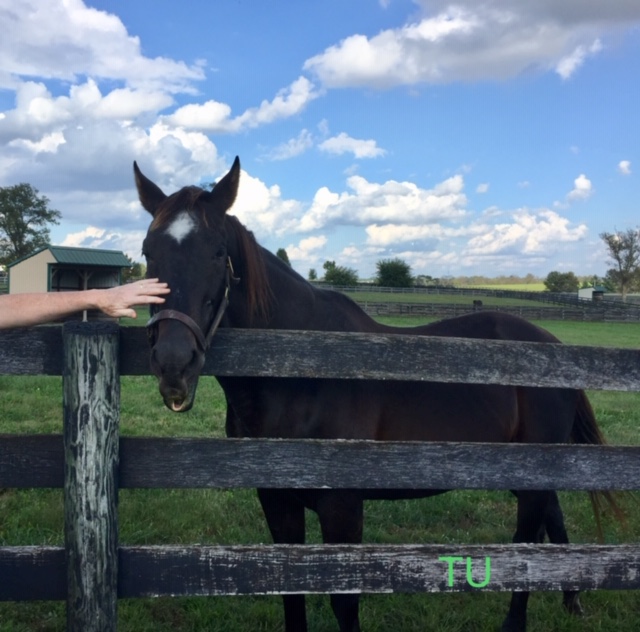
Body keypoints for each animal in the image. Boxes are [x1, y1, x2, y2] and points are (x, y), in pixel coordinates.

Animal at [135, 158, 616, 632]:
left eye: (218, 252)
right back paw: (572, 597)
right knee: (551, 518)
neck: (300, 373)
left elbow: (344, 604)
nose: (174, 361)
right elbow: (290, 593)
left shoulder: (342, 507)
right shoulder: (276, 500)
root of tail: (553, 344)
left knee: (527, 543)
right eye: (147, 252)